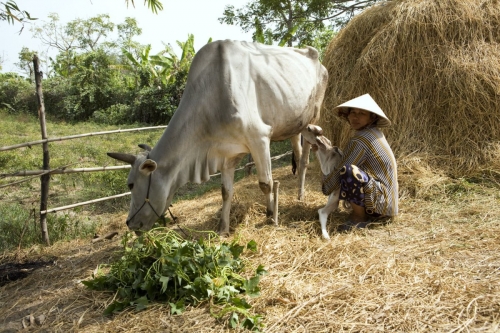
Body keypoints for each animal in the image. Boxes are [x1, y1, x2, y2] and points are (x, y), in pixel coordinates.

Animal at [108, 40, 328, 233]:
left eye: (131, 184)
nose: (130, 223)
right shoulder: (226, 152)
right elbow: (226, 191)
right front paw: (223, 228)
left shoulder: (259, 138)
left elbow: (266, 184)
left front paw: (271, 215)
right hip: (294, 126)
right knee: (297, 154)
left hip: (312, 121)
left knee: (305, 159)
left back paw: (301, 195)